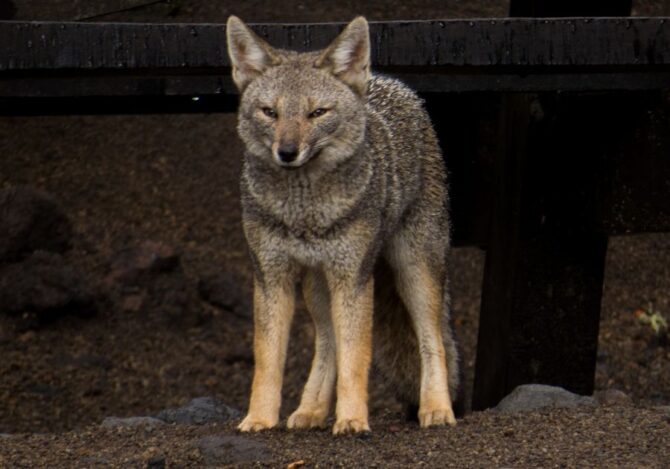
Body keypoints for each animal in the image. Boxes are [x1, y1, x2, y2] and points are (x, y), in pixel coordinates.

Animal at [226, 15, 459, 435]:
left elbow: (356, 357)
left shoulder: (353, 277)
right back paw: (312, 410)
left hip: (415, 271)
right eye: (270, 112)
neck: (304, 212)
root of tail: (385, 81)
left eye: (317, 113)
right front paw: (259, 419)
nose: (287, 152)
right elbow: (268, 361)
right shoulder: (270, 277)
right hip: (318, 287)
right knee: (327, 342)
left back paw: (436, 408)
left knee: (431, 339)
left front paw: (352, 420)